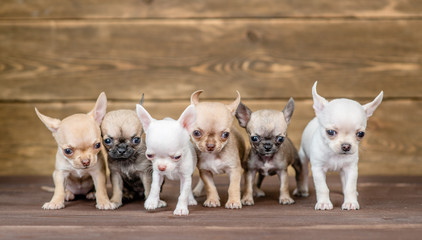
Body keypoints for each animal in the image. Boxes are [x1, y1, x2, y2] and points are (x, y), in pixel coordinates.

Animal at [298, 82, 384, 210]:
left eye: (361, 134)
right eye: (330, 132)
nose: (346, 146)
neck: (335, 155)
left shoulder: (351, 168)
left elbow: (350, 187)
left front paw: (351, 202)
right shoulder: (318, 169)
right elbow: (323, 188)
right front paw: (324, 203)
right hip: (303, 157)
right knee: (303, 172)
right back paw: (302, 190)